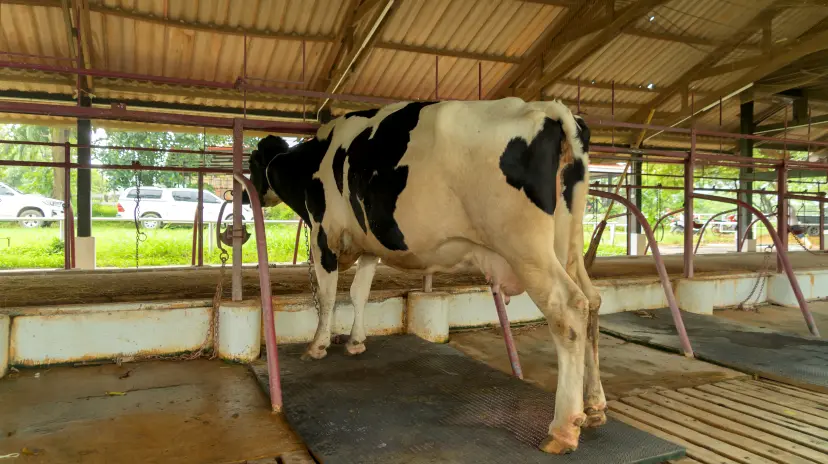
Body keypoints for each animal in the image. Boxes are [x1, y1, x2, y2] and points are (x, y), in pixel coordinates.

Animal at [242, 97, 604, 454]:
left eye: (254, 161)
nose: (247, 195)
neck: (315, 158)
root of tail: (548, 108)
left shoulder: (323, 236)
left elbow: (328, 296)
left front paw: (318, 345)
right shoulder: (370, 243)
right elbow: (359, 294)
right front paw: (356, 341)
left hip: (525, 246)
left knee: (568, 308)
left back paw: (562, 430)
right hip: (568, 245)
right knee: (593, 300)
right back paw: (595, 406)